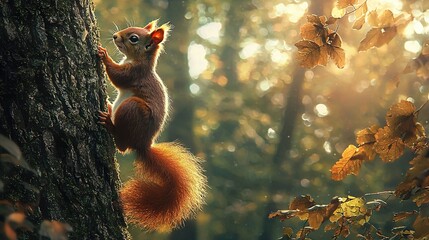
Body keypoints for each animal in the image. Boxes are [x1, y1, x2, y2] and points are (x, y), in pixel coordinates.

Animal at [96, 19, 206, 231]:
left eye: (133, 38)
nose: (115, 36)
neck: (137, 60)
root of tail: (143, 144)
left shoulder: (134, 73)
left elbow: (118, 76)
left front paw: (104, 55)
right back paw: (109, 107)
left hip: (132, 109)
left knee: (122, 146)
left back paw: (109, 123)